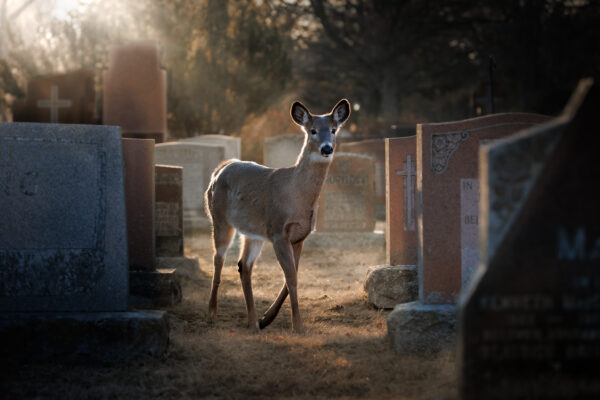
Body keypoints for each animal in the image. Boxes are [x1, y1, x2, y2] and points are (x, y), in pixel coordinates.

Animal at [205, 99, 352, 332]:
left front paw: (267, 318)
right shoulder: (278, 231)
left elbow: (292, 276)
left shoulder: (300, 236)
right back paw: (212, 314)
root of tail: (220, 168)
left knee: (244, 265)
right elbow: (291, 277)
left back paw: (253, 322)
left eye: (333, 130)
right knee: (218, 259)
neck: (298, 195)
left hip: (251, 232)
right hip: (219, 218)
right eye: (312, 130)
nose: (327, 148)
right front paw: (298, 326)